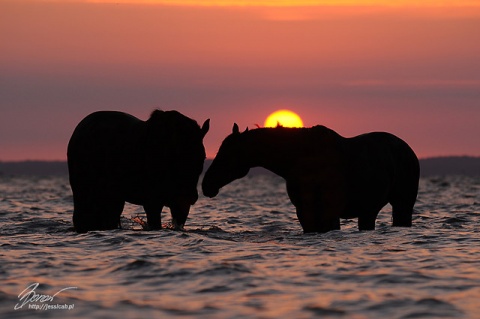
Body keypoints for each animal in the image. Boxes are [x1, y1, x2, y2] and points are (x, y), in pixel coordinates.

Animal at [202, 124, 420, 234]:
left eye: (227, 153)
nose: (206, 185)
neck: (301, 158)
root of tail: (408, 150)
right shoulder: (305, 211)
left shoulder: (329, 211)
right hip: (369, 211)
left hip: (402, 205)